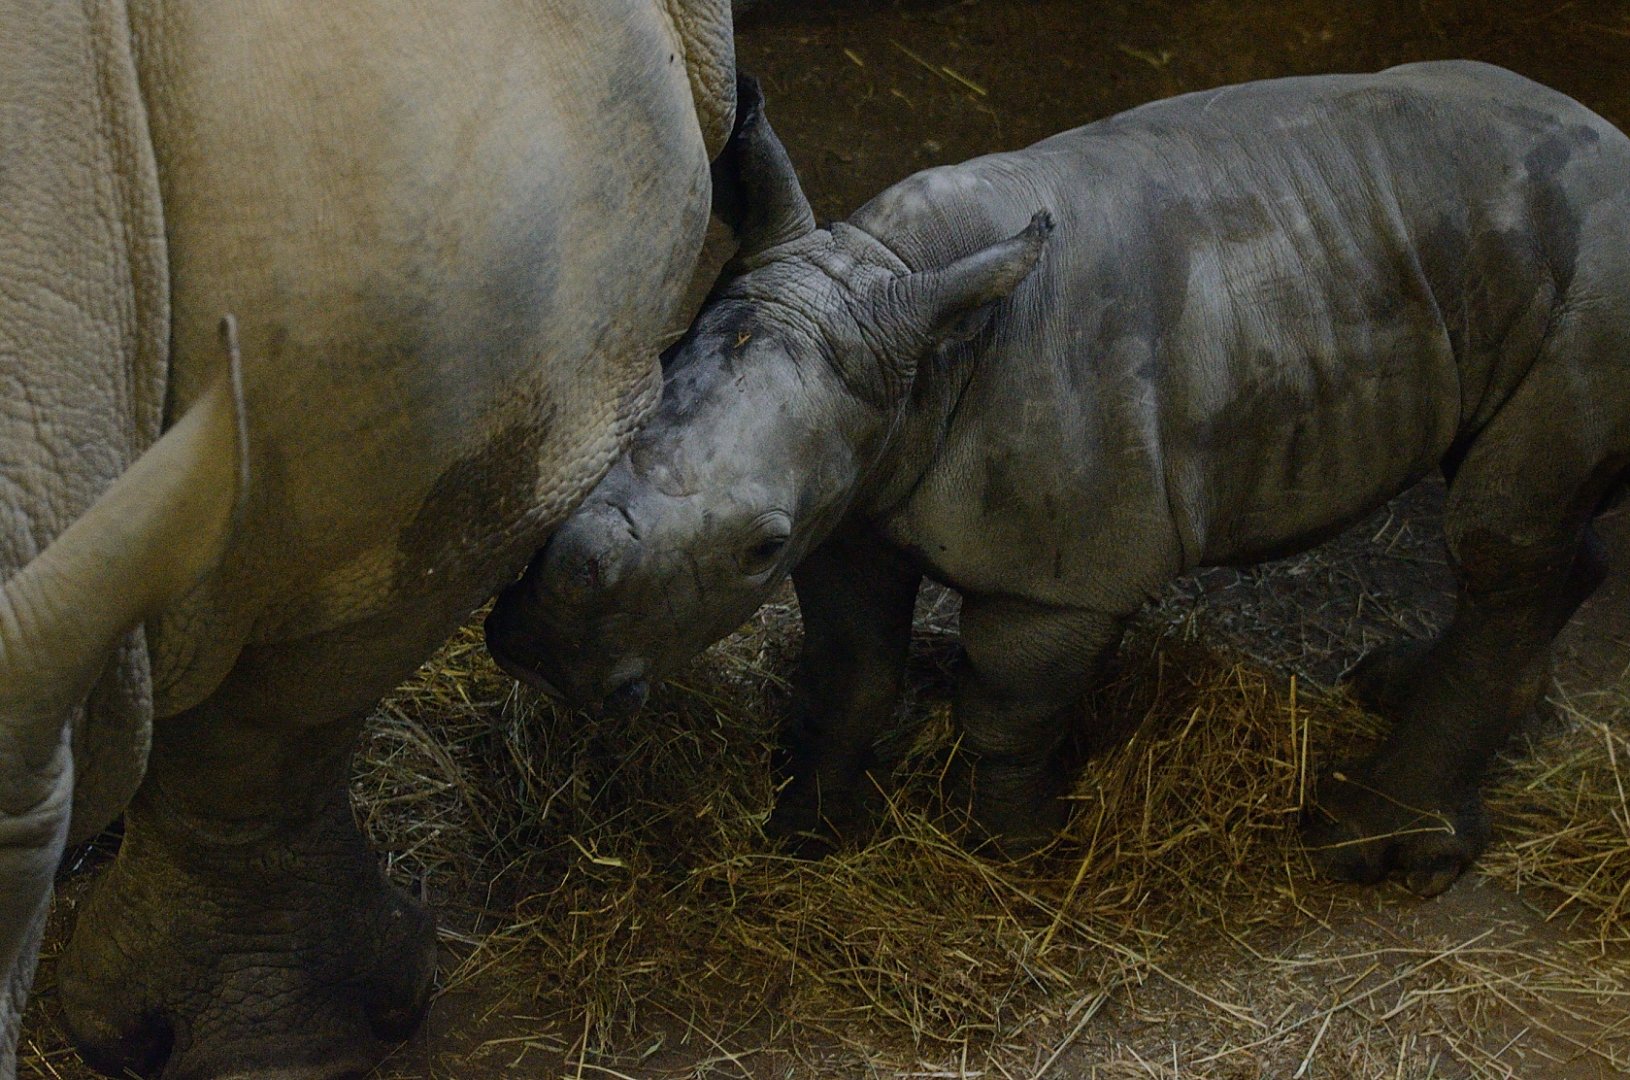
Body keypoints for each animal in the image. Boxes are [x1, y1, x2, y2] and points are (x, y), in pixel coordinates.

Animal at [487, 65, 1630, 898]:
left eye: (758, 545)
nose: (542, 649)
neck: (901, 297)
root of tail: (1607, 131)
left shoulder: (1064, 576)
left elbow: (1006, 705)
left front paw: (1021, 852)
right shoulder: (853, 500)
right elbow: (851, 668)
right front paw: (807, 830)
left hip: (1597, 282)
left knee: (1498, 540)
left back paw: (1367, 848)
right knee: (1524, 532)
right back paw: (1396, 694)